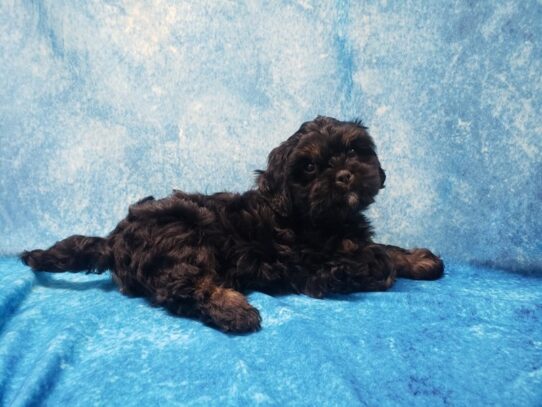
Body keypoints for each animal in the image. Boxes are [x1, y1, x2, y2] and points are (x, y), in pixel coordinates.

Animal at [21, 116, 446, 334]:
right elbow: (375, 261)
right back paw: (234, 309)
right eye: (309, 166)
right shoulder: (305, 266)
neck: (316, 217)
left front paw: (420, 260)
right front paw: (373, 268)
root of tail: (114, 239)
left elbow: (382, 248)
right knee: (184, 288)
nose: (344, 176)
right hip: (182, 234)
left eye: (354, 150)